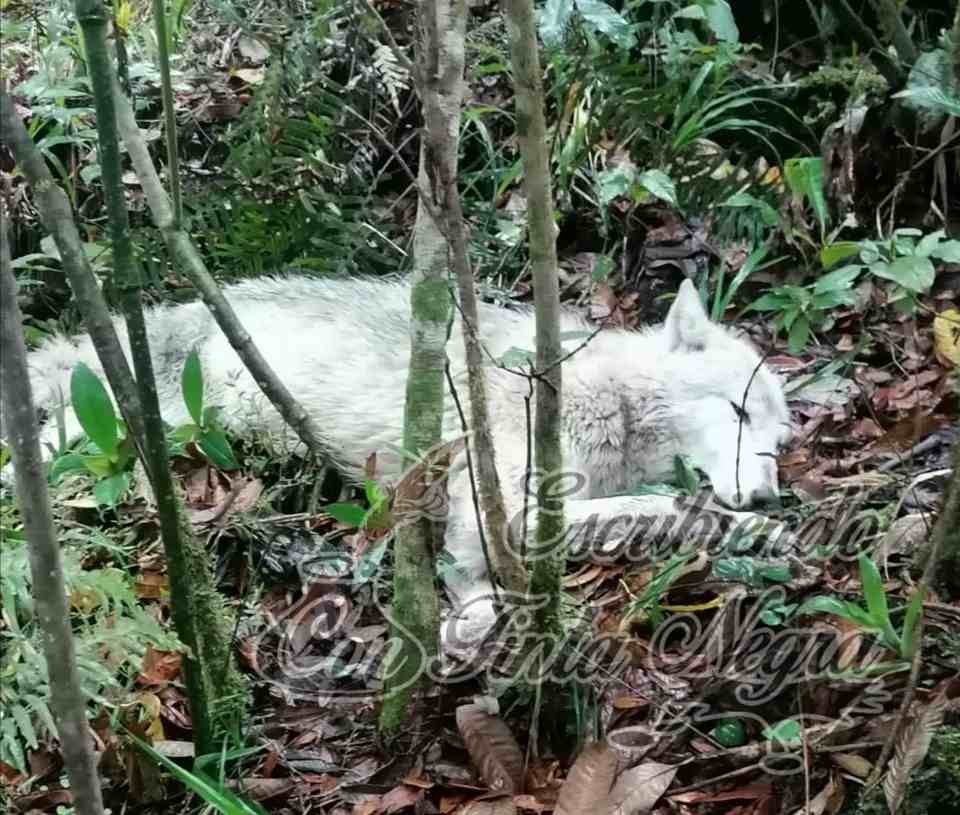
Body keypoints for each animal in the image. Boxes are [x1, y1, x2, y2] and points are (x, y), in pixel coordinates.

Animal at [16, 278, 796, 648]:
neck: (609, 397)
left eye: (777, 441)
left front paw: (763, 530)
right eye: (736, 410)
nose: (767, 496)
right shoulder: (500, 501)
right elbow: (661, 506)